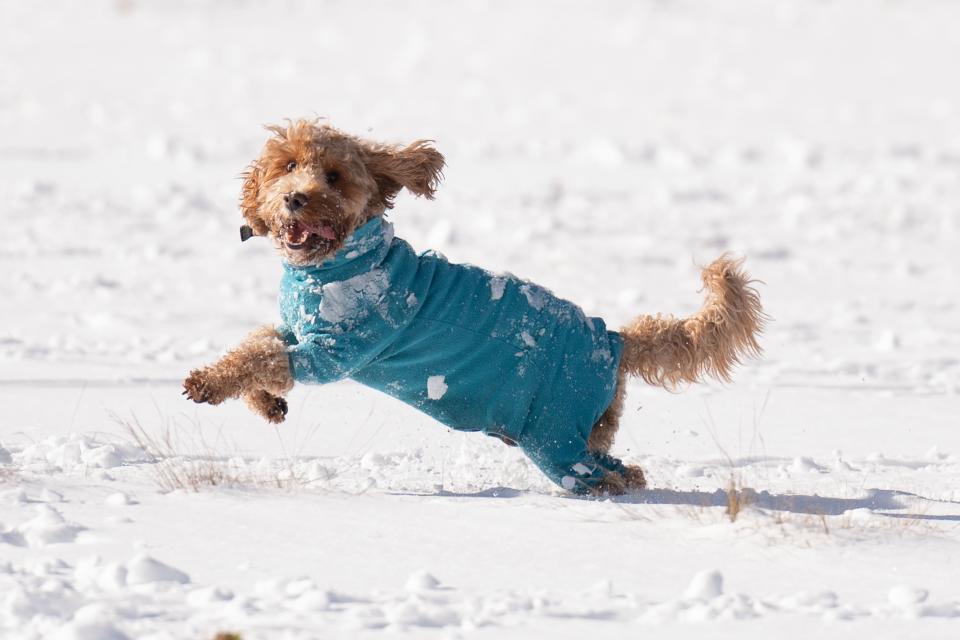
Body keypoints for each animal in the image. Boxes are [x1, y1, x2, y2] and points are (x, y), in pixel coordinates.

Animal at [182, 121, 764, 500]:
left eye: (334, 177)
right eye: (287, 166)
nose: (296, 198)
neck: (336, 263)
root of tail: (615, 341)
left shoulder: (337, 349)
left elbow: (259, 357)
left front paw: (207, 383)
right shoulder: (297, 331)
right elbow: (260, 342)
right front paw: (267, 404)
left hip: (555, 432)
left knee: (602, 475)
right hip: (581, 430)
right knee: (621, 467)